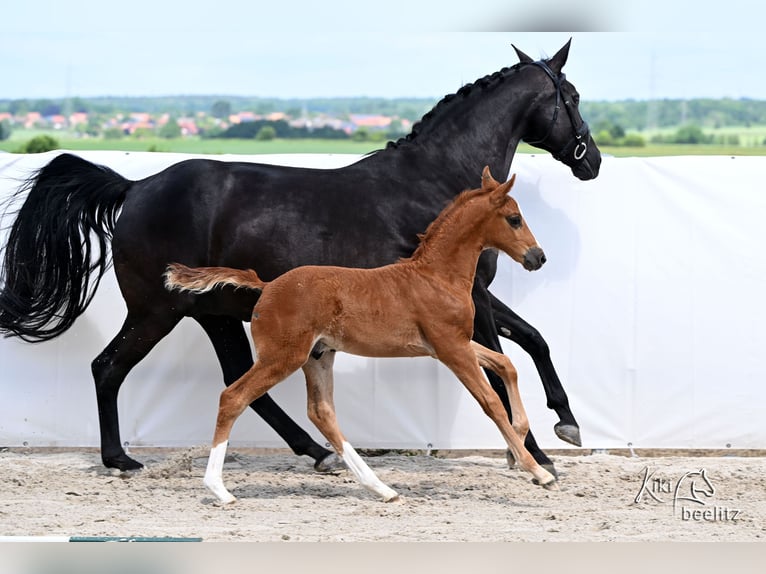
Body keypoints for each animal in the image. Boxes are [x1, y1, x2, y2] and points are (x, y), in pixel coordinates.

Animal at [165, 167, 558, 503]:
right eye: (514, 218)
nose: (538, 257)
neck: (435, 277)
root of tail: (266, 286)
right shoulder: (450, 348)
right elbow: (490, 401)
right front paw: (538, 470)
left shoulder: (449, 344)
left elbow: (505, 364)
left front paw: (520, 438)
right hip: (282, 357)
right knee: (233, 397)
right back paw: (219, 489)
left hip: (318, 356)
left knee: (322, 413)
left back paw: (381, 488)